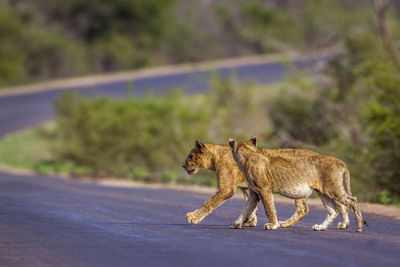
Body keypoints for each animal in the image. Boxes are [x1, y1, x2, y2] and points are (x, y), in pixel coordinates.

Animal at [182, 140, 350, 230]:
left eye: (190, 156)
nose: (183, 165)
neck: (217, 156)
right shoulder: (248, 187)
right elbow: (250, 206)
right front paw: (248, 221)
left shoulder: (227, 188)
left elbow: (209, 203)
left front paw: (193, 217)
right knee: (340, 205)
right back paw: (343, 224)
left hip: (300, 188)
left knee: (305, 209)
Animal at [230, 138, 368, 232]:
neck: (248, 155)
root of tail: (340, 161)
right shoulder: (254, 193)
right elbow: (246, 209)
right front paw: (236, 224)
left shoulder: (264, 189)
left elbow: (269, 208)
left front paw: (273, 225)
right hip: (323, 192)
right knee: (333, 211)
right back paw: (321, 227)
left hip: (333, 189)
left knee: (352, 201)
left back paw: (359, 226)